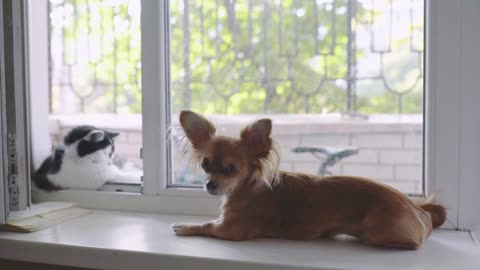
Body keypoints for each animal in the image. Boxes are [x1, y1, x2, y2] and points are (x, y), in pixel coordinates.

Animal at [172, 109, 446, 249]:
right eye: (205, 164)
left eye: (232, 169)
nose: (210, 184)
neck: (247, 188)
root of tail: (420, 210)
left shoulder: (232, 230)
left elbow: (207, 225)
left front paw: (184, 227)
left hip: (376, 229)